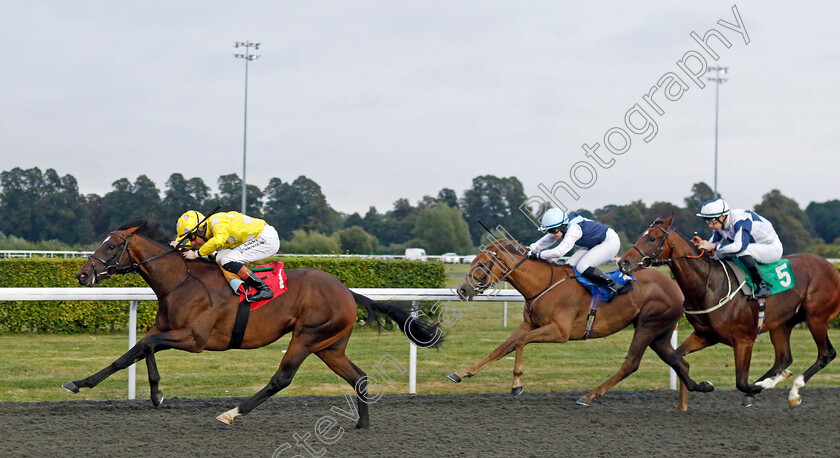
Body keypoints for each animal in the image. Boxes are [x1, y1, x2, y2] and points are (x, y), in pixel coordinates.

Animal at [65, 218, 442, 426]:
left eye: (111, 246)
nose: (82, 275)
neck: (181, 280)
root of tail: (347, 291)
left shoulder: (194, 339)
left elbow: (145, 346)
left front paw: (155, 393)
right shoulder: (166, 329)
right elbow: (131, 353)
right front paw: (82, 383)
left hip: (306, 337)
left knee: (281, 379)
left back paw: (233, 412)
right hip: (330, 346)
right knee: (359, 377)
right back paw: (362, 425)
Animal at [450, 238, 712, 410]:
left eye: (481, 265)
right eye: (472, 262)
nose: (462, 290)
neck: (543, 285)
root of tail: (676, 287)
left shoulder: (559, 332)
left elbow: (521, 343)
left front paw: (516, 385)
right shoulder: (529, 325)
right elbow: (502, 348)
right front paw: (461, 373)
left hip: (648, 325)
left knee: (632, 364)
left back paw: (589, 396)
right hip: (659, 333)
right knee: (679, 360)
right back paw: (690, 398)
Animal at [616, 216, 840, 406]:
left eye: (652, 238)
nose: (623, 262)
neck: (710, 285)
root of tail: (832, 269)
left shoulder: (744, 340)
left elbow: (741, 381)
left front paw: (762, 386)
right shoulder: (706, 335)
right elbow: (674, 358)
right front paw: (704, 386)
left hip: (816, 317)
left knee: (826, 353)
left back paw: (792, 391)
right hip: (783, 323)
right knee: (783, 358)